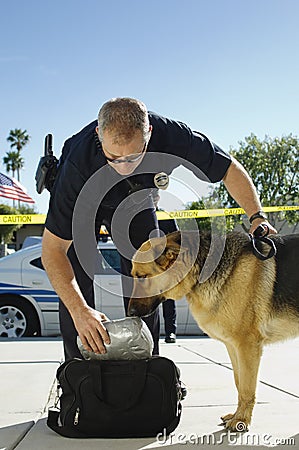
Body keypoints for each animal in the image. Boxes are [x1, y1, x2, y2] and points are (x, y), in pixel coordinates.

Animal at [129, 230, 299, 430]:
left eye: (142, 277)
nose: (130, 312)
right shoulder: (233, 347)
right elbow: (239, 382)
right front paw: (237, 415)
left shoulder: (247, 346)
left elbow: (247, 388)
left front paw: (241, 421)